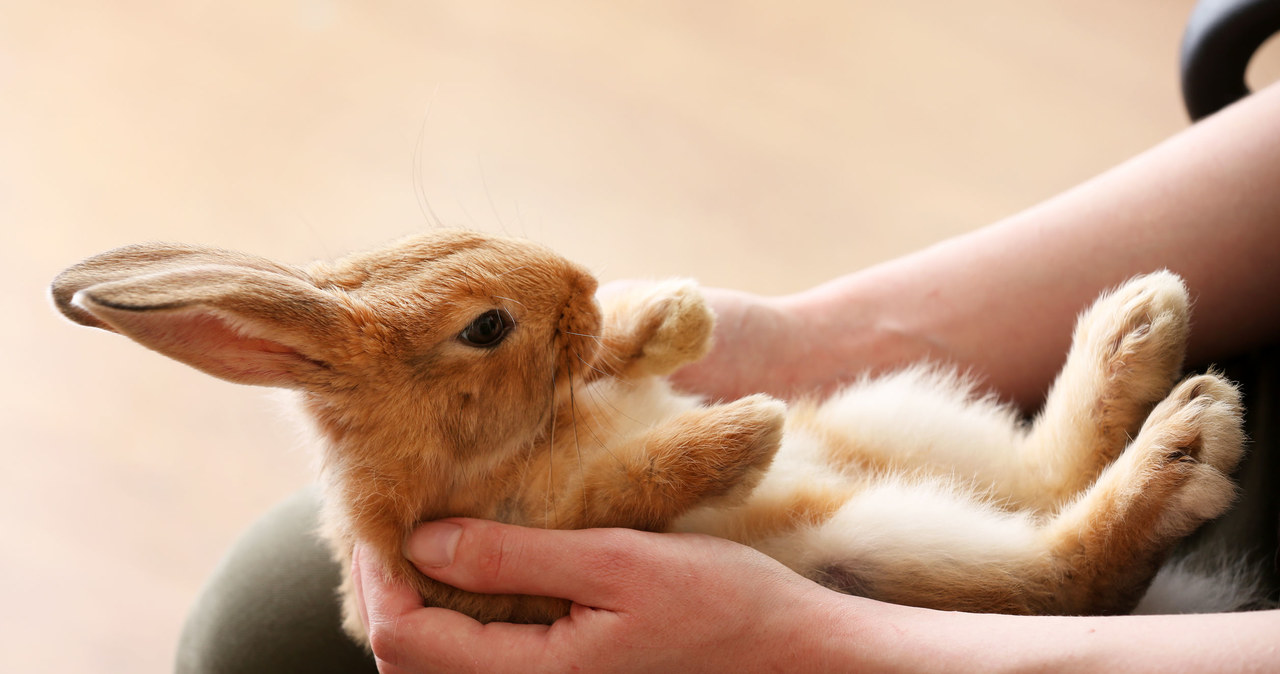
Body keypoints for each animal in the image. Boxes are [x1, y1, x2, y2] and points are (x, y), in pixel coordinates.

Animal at [49, 230, 1239, 644]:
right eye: (486, 327)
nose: (578, 281)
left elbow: (630, 367)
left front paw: (669, 313)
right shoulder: (518, 534)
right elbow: (626, 485)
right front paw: (739, 430)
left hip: (900, 424)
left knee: (1045, 476)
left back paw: (1146, 332)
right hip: (891, 529)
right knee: (1067, 565)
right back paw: (1186, 431)